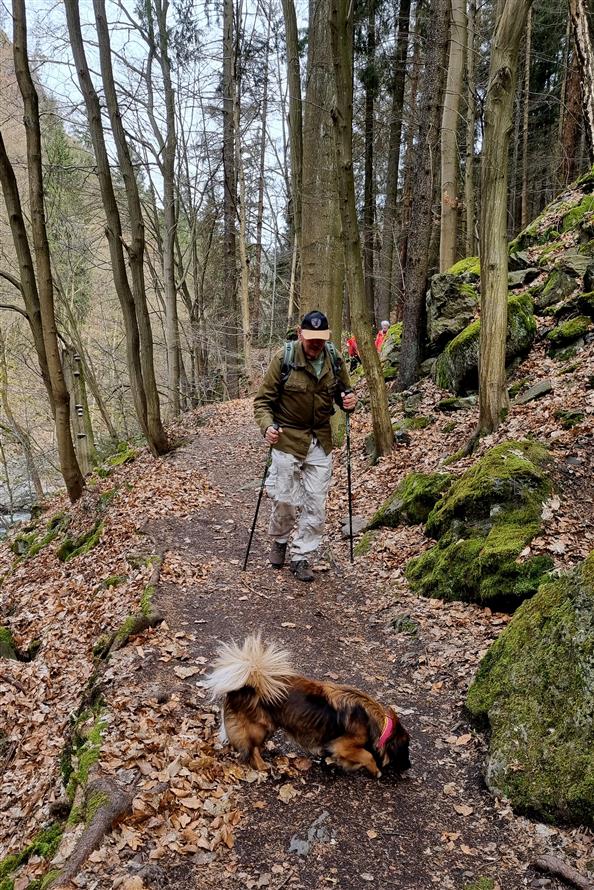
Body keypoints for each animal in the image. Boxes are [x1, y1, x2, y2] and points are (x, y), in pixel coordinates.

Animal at [206, 636, 410, 772]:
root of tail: (244, 687)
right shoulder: (342, 745)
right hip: (260, 728)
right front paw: (375, 770)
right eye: (405, 749)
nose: (409, 767)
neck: (377, 722)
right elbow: (367, 755)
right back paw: (262, 766)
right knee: (251, 749)